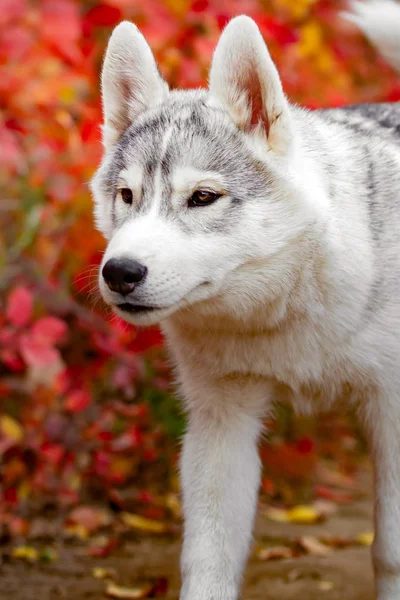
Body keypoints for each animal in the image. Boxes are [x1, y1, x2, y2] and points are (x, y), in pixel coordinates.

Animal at [92, 0, 400, 596]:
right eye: (127, 196)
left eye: (203, 197)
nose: (120, 272)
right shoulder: (220, 422)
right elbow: (208, 560)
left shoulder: (392, 411)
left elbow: (391, 550)